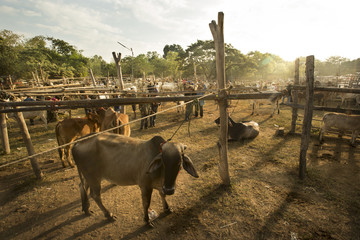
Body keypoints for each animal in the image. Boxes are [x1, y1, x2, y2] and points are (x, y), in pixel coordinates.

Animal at [71, 134, 200, 226]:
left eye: (179, 162)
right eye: (164, 160)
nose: (170, 190)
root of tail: (78, 141)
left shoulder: (161, 185)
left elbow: (162, 194)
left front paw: (167, 208)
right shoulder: (145, 187)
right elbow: (146, 203)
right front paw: (147, 220)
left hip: (88, 176)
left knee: (82, 186)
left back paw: (86, 209)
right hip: (93, 177)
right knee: (95, 195)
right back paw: (109, 215)